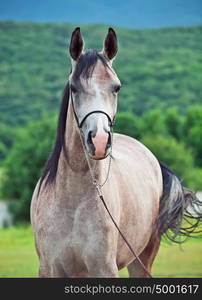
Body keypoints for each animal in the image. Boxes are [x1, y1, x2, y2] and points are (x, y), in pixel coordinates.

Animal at [30, 27, 202, 276]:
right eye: (74, 87)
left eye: (116, 87)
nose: (100, 140)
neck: (72, 202)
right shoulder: (51, 269)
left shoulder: (104, 268)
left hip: (142, 259)